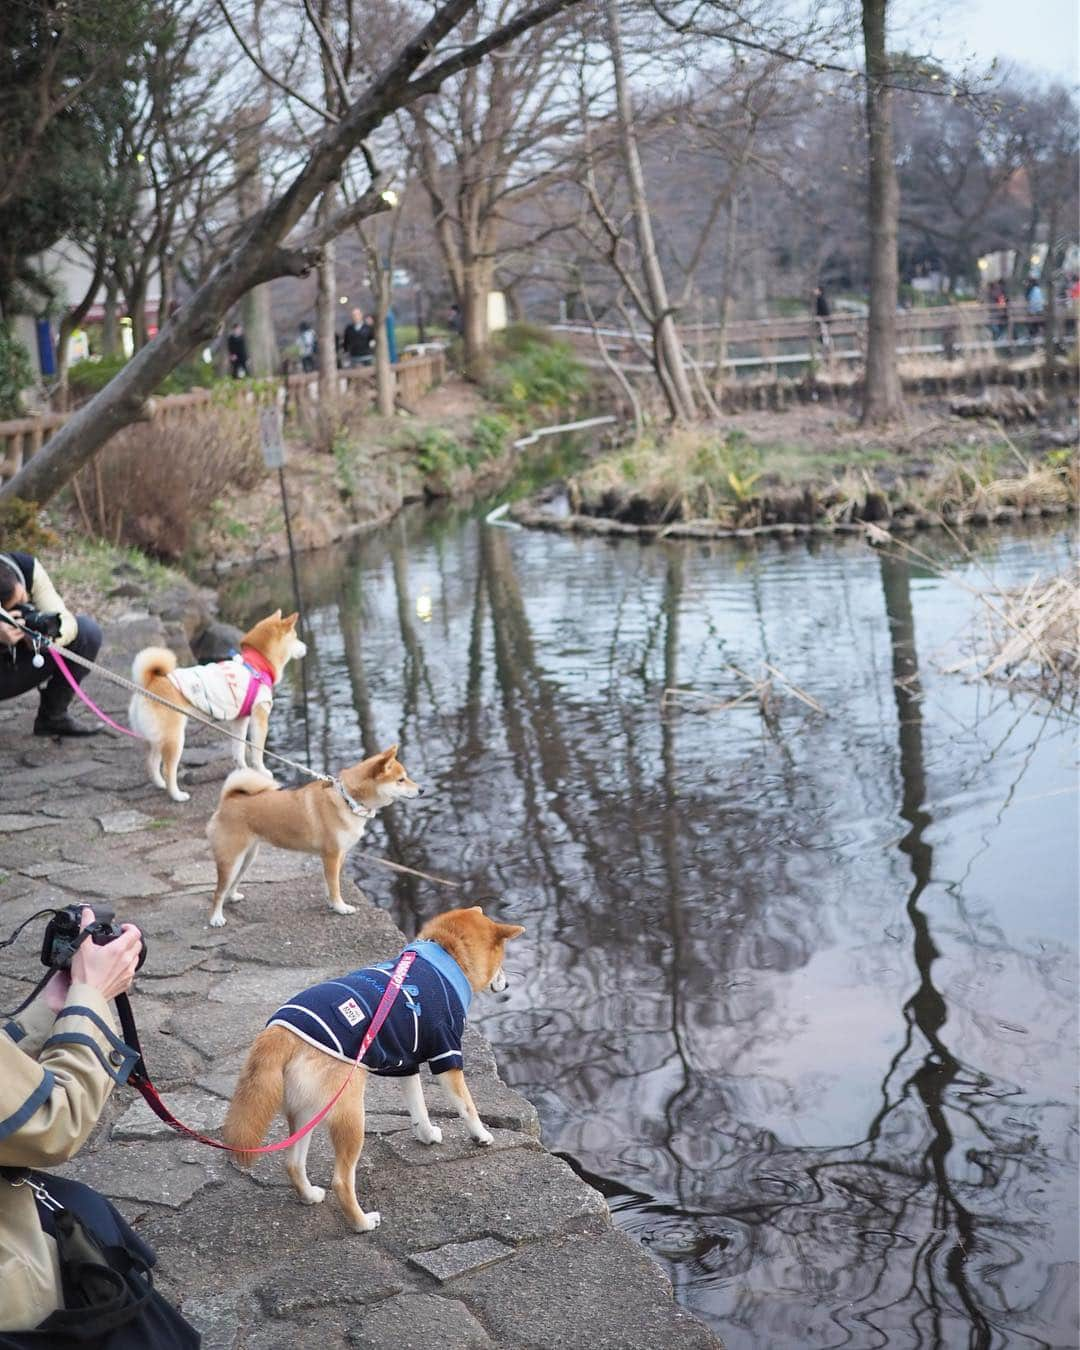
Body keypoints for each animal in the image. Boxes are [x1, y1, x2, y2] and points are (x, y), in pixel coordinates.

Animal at [133, 610, 307, 799]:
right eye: (296, 637)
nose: (305, 647)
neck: (257, 665)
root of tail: (150, 683)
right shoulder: (260, 717)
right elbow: (257, 752)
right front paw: (262, 771)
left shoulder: (240, 721)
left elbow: (238, 750)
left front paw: (243, 773)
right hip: (175, 737)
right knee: (167, 769)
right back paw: (177, 795)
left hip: (159, 737)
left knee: (151, 763)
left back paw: (160, 784)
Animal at [205, 745, 423, 923]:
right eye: (401, 780)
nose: (422, 790)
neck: (348, 800)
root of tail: (228, 800)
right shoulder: (332, 855)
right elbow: (335, 885)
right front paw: (341, 907)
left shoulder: (339, 856)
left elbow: (330, 884)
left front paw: (332, 904)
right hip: (230, 859)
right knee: (218, 891)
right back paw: (216, 918)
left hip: (247, 857)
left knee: (232, 883)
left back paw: (232, 896)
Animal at [221, 907, 526, 1236]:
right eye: (503, 961)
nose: (507, 985)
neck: (445, 956)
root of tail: (280, 1030)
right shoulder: (446, 1055)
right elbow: (466, 1106)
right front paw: (481, 1135)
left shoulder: (406, 1062)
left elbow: (418, 1108)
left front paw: (427, 1135)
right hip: (351, 1115)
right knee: (342, 1181)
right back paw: (361, 1222)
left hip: (307, 1110)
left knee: (292, 1162)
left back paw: (309, 1195)